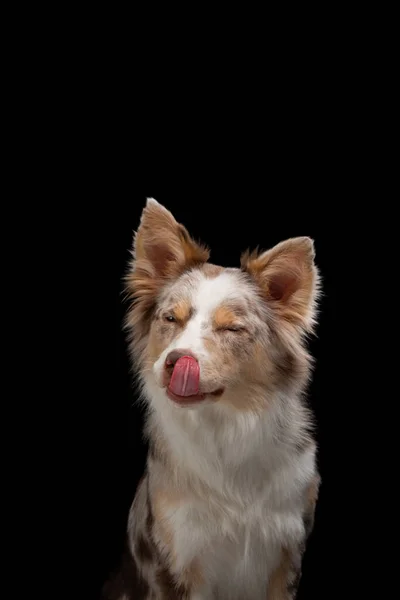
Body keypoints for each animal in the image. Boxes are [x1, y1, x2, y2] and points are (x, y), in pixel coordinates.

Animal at [101, 199, 320, 596]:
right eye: (170, 318)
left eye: (231, 328)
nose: (176, 362)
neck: (223, 428)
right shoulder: (177, 559)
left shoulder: (286, 553)